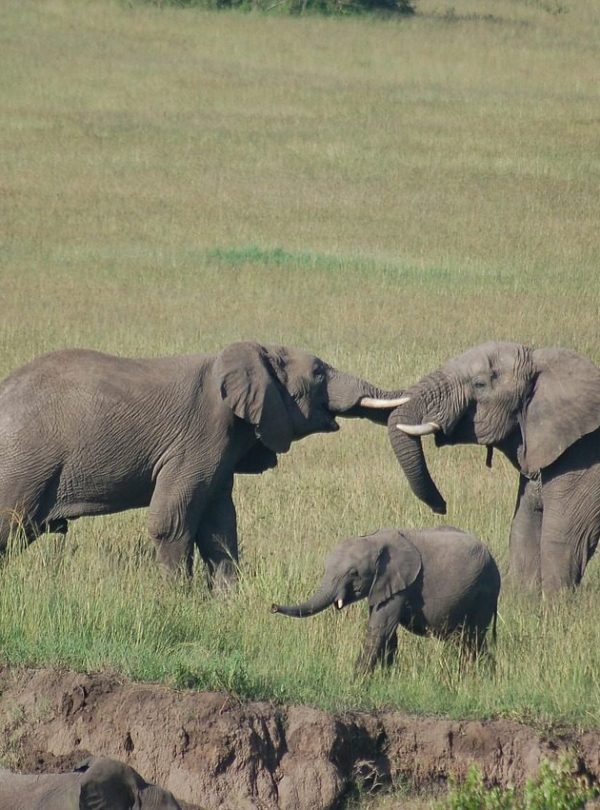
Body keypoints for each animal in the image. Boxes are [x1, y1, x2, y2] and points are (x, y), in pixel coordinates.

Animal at [0, 342, 407, 586]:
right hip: (23, 461)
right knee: (10, 524)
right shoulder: (199, 438)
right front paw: (175, 600)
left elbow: (219, 527)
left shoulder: (223, 448)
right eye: (320, 372)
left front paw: (227, 603)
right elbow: (171, 522)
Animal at [272, 526, 500, 673]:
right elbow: (388, 633)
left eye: (353, 573)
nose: (273, 606)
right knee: (466, 640)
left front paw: (356, 679)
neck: (376, 540)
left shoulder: (402, 583)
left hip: (484, 592)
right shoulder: (382, 586)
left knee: (472, 639)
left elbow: (380, 628)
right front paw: (386, 676)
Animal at [388, 341, 600, 594]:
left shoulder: (583, 458)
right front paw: (524, 597)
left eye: (479, 384)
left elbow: (563, 535)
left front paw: (556, 603)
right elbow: (523, 527)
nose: (442, 507)